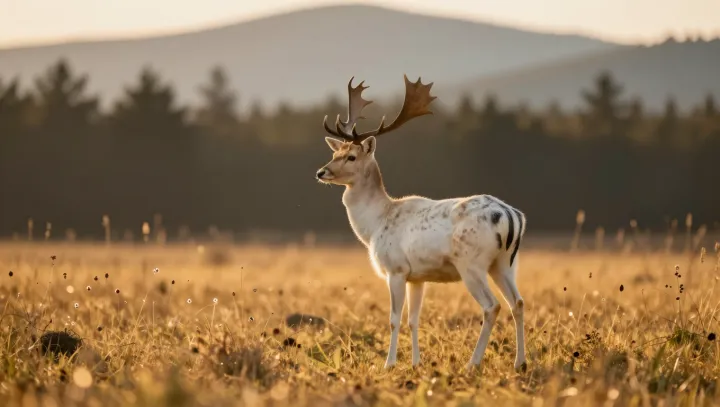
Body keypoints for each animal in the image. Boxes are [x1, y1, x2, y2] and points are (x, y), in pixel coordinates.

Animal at [315, 75, 527, 373]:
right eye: (336, 153)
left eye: (351, 157)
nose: (321, 172)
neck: (375, 224)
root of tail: (510, 215)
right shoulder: (418, 277)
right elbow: (413, 319)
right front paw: (416, 363)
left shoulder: (395, 269)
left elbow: (394, 319)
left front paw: (389, 364)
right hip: (505, 263)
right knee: (517, 302)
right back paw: (520, 363)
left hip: (471, 263)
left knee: (492, 306)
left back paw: (472, 364)